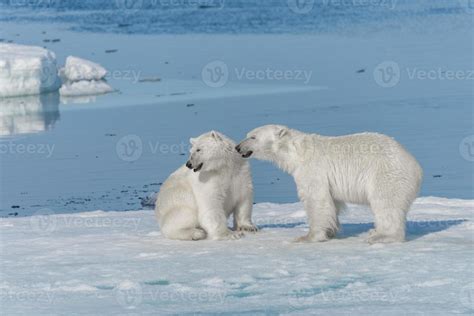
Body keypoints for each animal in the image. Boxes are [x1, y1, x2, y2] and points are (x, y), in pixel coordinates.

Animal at [235, 124, 424, 243]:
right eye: (247, 135)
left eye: (252, 137)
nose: (237, 147)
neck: (296, 153)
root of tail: (416, 166)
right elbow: (333, 203)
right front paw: (331, 231)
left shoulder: (312, 169)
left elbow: (316, 200)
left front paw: (308, 237)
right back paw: (375, 231)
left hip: (386, 174)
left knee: (386, 203)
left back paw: (381, 236)